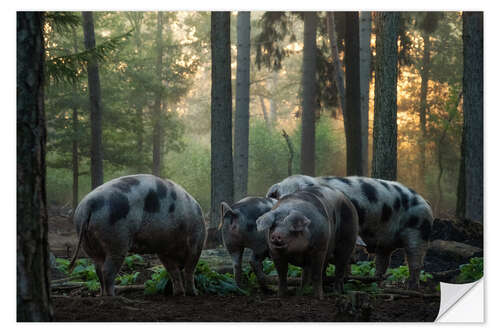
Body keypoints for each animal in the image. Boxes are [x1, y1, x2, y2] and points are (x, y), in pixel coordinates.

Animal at [68, 174, 205, 296]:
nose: (194, 293)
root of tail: (88, 205)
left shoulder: (163, 249)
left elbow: (173, 272)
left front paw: (178, 294)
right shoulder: (196, 242)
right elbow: (189, 269)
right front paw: (194, 293)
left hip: (88, 241)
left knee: (98, 268)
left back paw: (101, 295)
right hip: (117, 239)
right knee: (107, 270)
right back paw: (113, 297)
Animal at [266, 174, 434, 288]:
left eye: (301, 194)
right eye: (280, 195)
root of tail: (426, 202)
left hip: (418, 231)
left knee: (415, 262)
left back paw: (411, 287)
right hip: (385, 243)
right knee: (382, 262)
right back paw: (376, 282)